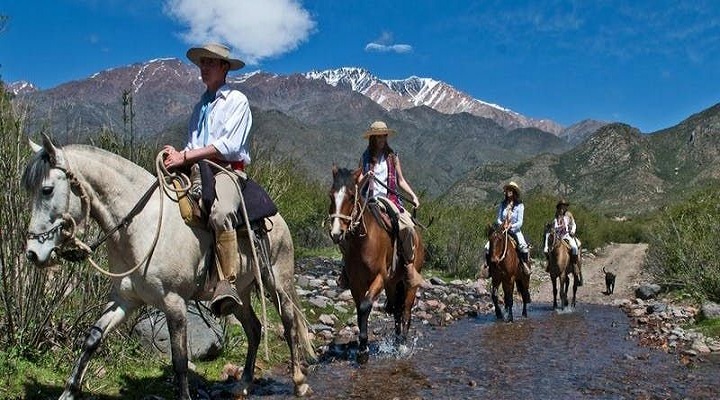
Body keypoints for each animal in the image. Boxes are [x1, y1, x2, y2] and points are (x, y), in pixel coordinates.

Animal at [22, 135, 314, 400]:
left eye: (47, 189)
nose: (33, 253)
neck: (141, 226)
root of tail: (278, 216)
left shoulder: (174, 303)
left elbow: (180, 361)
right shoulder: (125, 299)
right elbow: (92, 338)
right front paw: (68, 392)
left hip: (278, 282)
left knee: (289, 324)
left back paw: (299, 382)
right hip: (239, 293)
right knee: (254, 329)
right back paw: (243, 384)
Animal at [330, 166, 424, 362]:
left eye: (351, 196)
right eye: (330, 195)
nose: (336, 233)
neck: (363, 242)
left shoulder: (380, 278)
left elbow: (365, 306)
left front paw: (363, 350)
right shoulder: (356, 283)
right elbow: (360, 309)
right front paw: (362, 348)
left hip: (409, 283)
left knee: (406, 311)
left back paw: (403, 344)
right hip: (393, 284)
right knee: (396, 310)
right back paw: (396, 342)